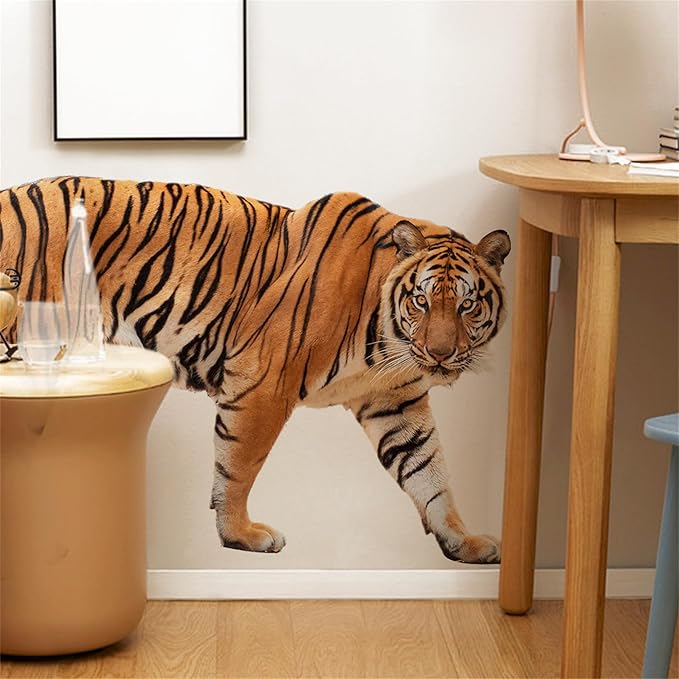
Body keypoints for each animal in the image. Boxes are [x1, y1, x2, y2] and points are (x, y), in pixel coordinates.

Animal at [0, 178, 510, 563]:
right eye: (422, 300)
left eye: (466, 304)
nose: (440, 354)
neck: (386, 339)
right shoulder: (261, 384)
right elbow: (239, 467)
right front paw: (241, 535)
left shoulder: (395, 402)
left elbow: (430, 472)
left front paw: (463, 541)